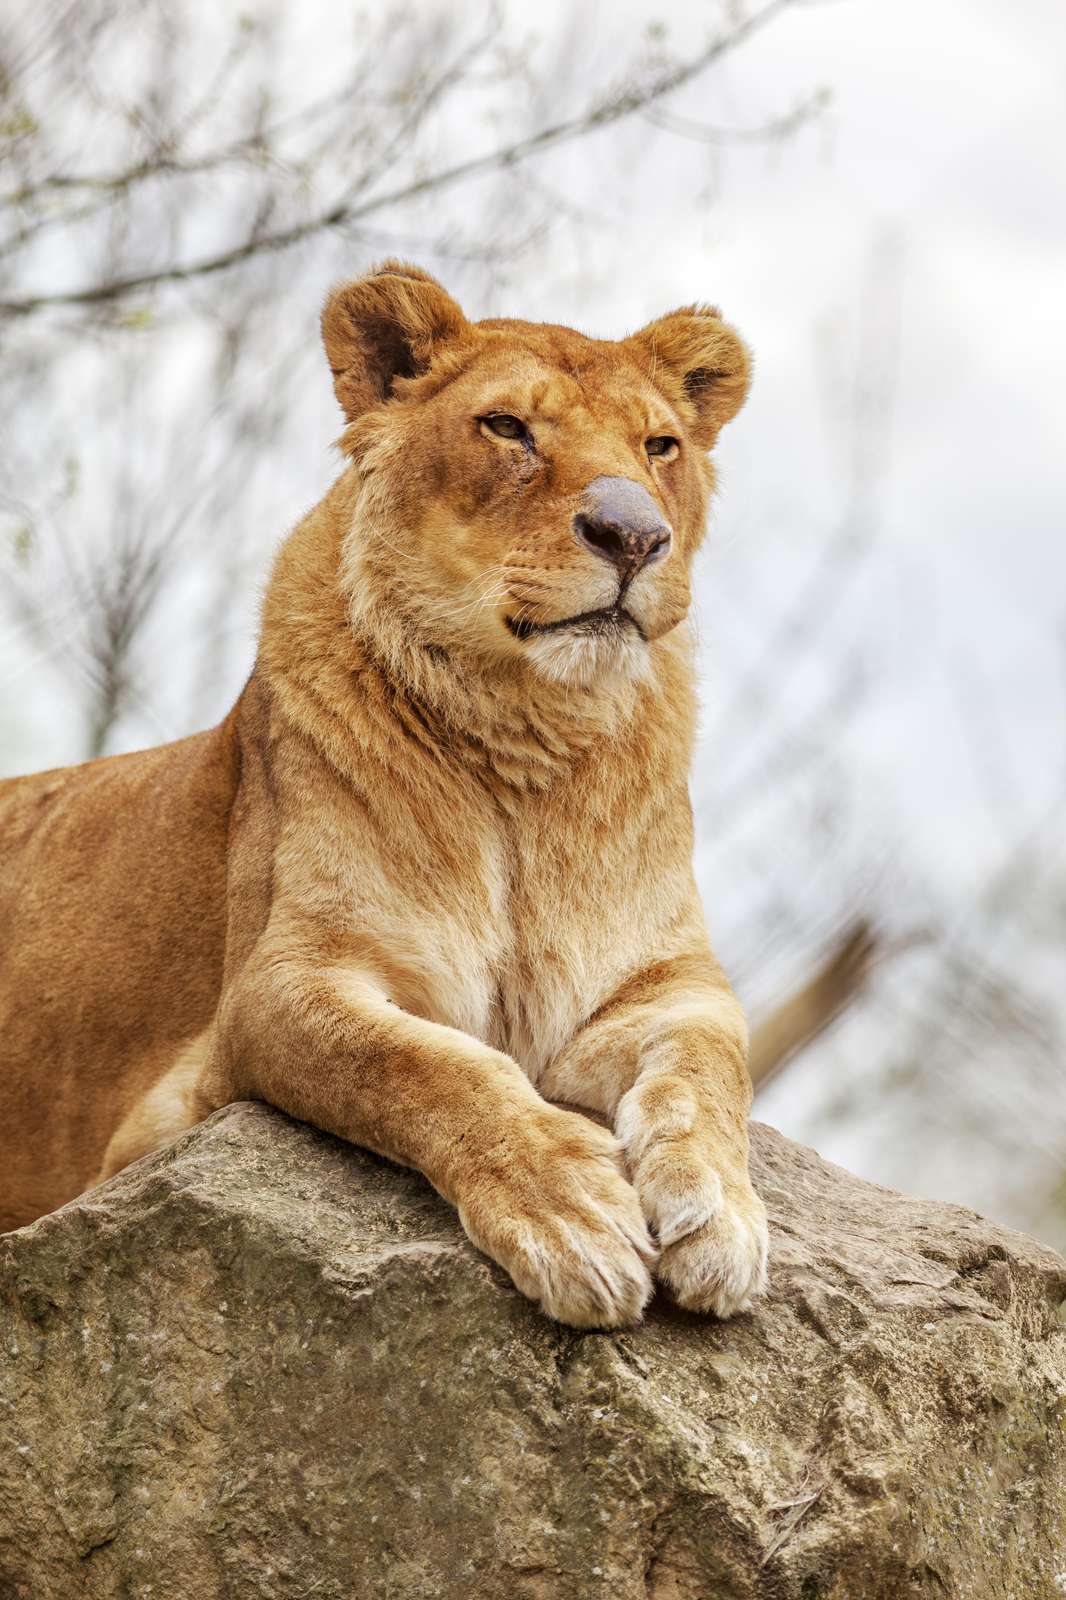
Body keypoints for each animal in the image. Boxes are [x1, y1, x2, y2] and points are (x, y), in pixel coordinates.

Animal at [0, 261, 768, 1328]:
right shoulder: (273, 993)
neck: (529, 740)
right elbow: (429, 1067)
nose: (635, 535)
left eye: (661, 447)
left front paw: (721, 1215)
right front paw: (570, 1211)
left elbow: (711, 1069)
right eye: (508, 428)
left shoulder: (667, 981)